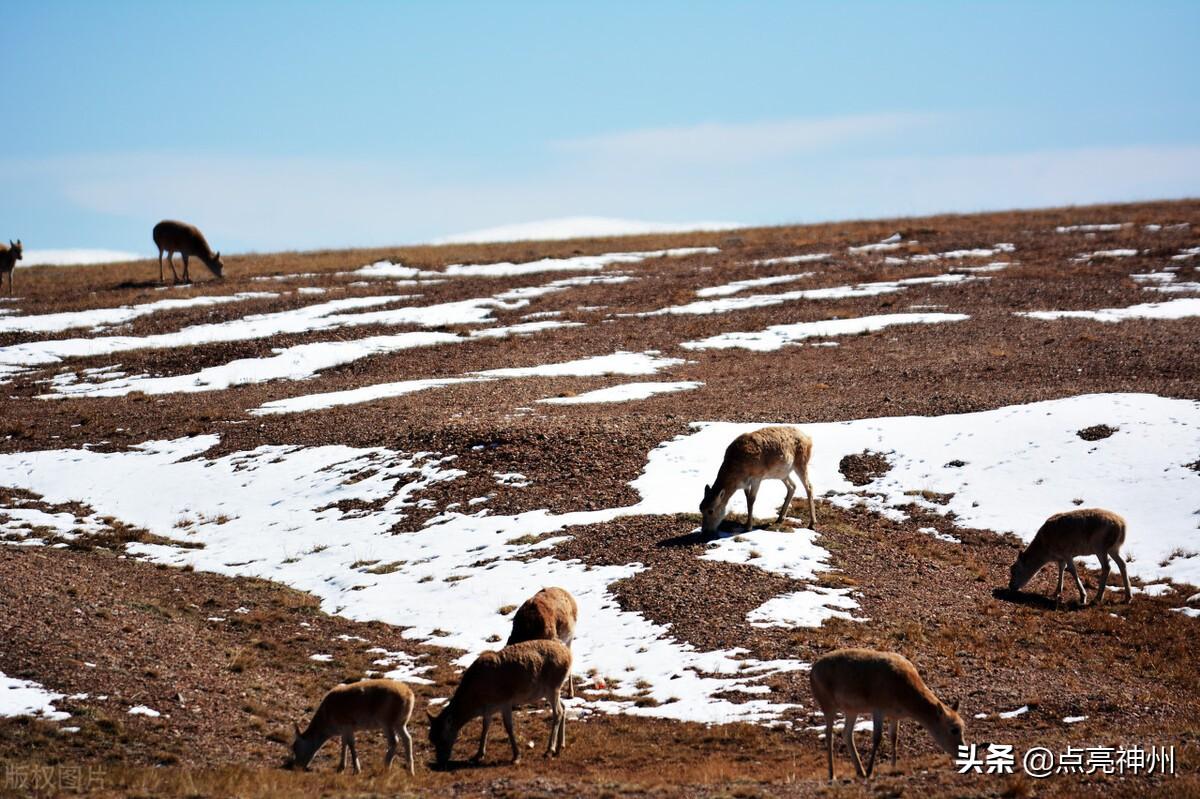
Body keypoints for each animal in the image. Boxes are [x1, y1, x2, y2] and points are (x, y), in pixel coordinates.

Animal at [427, 633, 571, 767]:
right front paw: (478, 755)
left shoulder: (505, 701)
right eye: (431, 739)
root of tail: (569, 656)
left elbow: (509, 727)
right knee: (563, 707)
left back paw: (549, 750)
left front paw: (516, 757)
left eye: (442, 739)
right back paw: (560, 746)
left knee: (558, 712)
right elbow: (485, 727)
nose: (440, 761)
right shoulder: (488, 710)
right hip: (552, 690)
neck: (477, 699)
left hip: (553, 687)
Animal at [806, 647, 964, 777]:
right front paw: (870, 771)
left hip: (852, 710)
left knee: (846, 734)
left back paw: (860, 771)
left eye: (963, 727)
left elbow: (894, 737)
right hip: (828, 705)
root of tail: (813, 670)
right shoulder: (878, 709)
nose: (962, 753)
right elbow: (877, 737)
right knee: (829, 735)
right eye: (954, 729)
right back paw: (832, 774)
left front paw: (893, 767)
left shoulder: (894, 715)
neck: (903, 688)